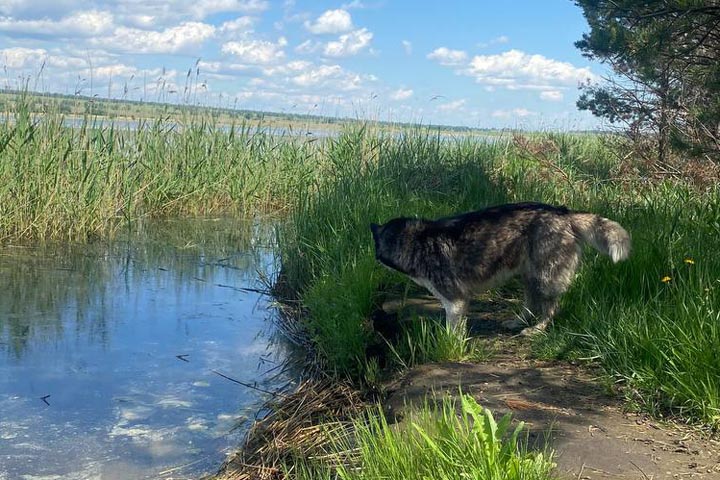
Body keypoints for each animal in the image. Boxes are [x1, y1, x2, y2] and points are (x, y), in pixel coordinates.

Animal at [372, 202, 632, 334]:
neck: (417, 239)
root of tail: (565, 213)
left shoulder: (454, 301)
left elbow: (451, 328)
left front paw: (450, 343)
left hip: (545, 277)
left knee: (550, 308)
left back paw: (538, 328)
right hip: (528, 276)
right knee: (531, 304)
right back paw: (518, 321)